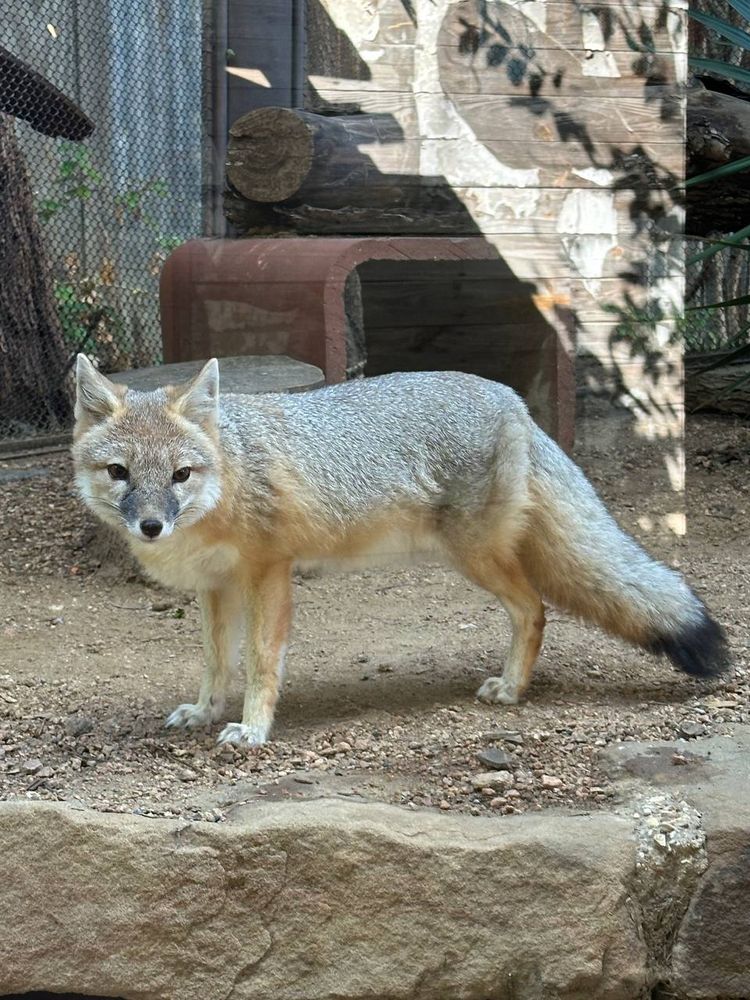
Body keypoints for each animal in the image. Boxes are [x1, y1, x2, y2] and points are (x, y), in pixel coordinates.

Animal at [72, 354, 729, 746]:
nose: (151, 526)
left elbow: (259, 662)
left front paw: (253, 729)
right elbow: (216, 661)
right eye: (120, 472)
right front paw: (206, 709)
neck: (230, 473)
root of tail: (511, 398)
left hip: (476, 557)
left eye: (180, 475)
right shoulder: (216, 585)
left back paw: (511, 688)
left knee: (535, 609)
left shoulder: (268, 574)